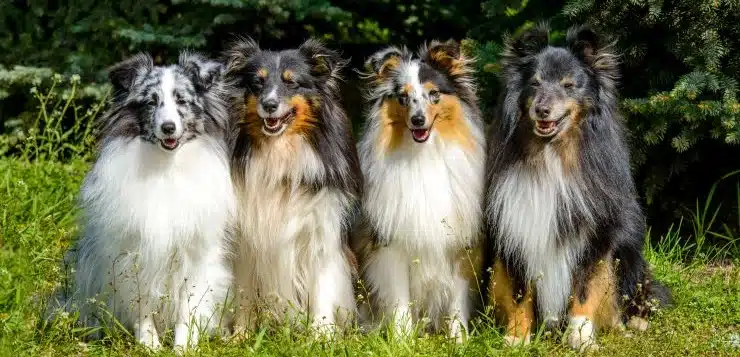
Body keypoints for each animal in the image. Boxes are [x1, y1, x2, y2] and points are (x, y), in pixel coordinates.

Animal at [68, 51, 234, 350]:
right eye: (151, 102)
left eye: (182, 100)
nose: (168, 128)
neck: (165, 166)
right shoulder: (134, 252)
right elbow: (141, 301)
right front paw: (149, 344)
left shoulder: (195, 251)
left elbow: (187, 305)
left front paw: (183, 346)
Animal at [225, 37, 364, 332]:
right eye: (257, 83)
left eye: (292, 82)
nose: (269, 104)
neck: (280, 150)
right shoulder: (246, 240)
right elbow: (244, 294)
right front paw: (240, 335)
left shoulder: (321, 233)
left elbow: (323, 289)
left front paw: (322, 334)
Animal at [352, 40, 486, 340]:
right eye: (403, 97)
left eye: (434, 93)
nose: (417, 120)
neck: (425, 154)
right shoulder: (393, 244)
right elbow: (400, 299)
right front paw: (402, 341)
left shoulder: (458, 243)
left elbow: (457, 300)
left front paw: (458, 339)